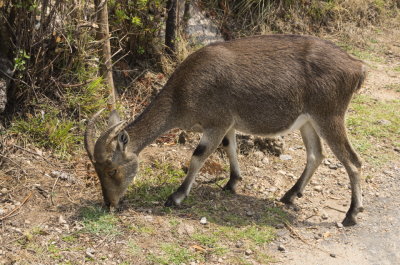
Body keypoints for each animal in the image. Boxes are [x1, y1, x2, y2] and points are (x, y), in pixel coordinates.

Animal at [84, 34, 366, 225]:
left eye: (112, 169)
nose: (109, 203)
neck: (182, 96)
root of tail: (358, 67)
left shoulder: (216, 121)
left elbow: (198, 156)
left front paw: (176, 197)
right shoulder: (228, 123)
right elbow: (230, 147)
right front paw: (232, 183)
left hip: (329, 115)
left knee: (353, 161)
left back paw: (351, 215)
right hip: (308, 121)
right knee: (316, 154)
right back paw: (289, 195)